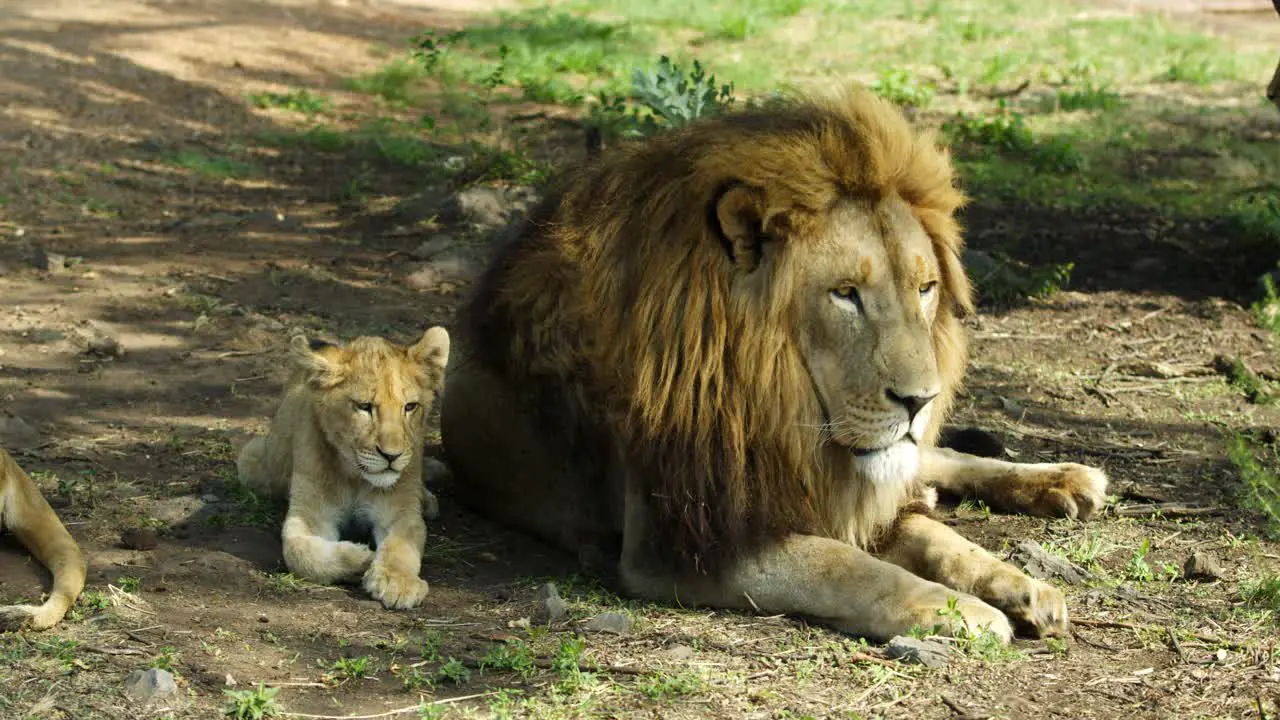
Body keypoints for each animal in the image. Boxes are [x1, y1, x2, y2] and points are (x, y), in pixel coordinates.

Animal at [238, 327, 453, 607]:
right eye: (364, 407)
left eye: (410, 407)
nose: (392, 455)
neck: (355, 476)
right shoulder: (309, 515)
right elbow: (299, 553)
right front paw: (362, 558)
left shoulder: (400, 512)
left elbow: (401, 545)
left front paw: (396, 582)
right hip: (253, 461)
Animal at [437, 85, 1100, 638]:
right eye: (845, 294)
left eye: (925, 288)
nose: (921, 402)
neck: (778, 407)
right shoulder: (682, 540)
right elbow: (846, 566)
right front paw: (961, 611)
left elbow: (936, 540)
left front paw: (1022, 586)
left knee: (938, 459)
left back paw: (1066, 479)